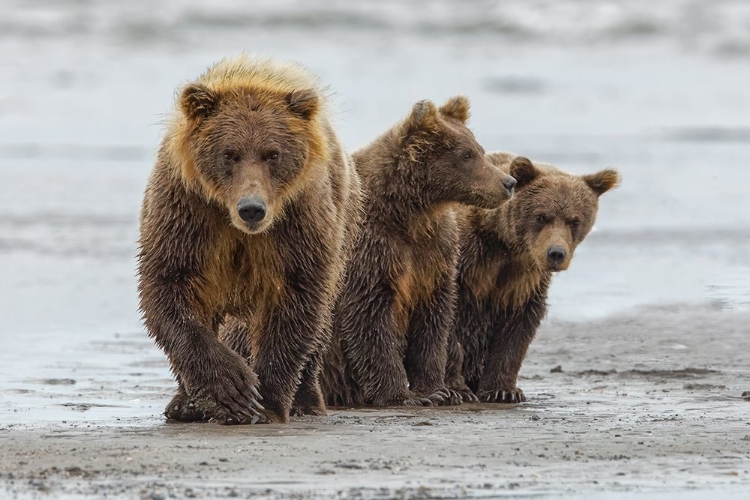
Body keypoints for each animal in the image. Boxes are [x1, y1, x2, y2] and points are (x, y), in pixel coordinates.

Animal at [142, 53, 368, 422]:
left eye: (272, 153)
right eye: (229, 153)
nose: (252, 209)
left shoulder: (296, 223)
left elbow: (294, 300)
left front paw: (267, 402)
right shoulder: (188, 211)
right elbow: (170, 286)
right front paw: (232, 389)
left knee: (320, 324)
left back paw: (307, 400)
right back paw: (184, 404)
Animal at [320, 97, 520, 406]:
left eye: (480, 150)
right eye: (466, 155)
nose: (508, 183)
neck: (411, 215)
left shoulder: (435, 254)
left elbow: (434, 320)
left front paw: (437, 390)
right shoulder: (372, 248)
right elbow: (369, 317)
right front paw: (403, 395)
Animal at [450, 151, 620, 402]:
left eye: (575, 220)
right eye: (541, 216)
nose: (556, 253)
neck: (505, 245)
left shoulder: (525, 281)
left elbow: (518, 329)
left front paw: (503, 390)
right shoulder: (465, 264)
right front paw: (457, 389)